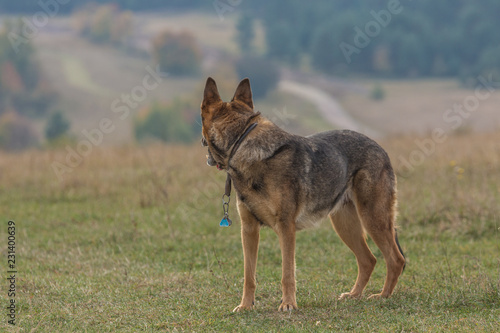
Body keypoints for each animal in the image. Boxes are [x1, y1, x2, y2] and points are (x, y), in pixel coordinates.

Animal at [200, 76, 406, 310]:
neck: (242, 141)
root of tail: (380, 148)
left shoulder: (286, 228)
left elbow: (287, 273)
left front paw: (288, 304)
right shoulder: (249, 230)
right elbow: (249, 275)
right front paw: (245, 306)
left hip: (373, 220)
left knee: (395, 260)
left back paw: (383, 296)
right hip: (345, 225)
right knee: (368, 260)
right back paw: (354, 295)